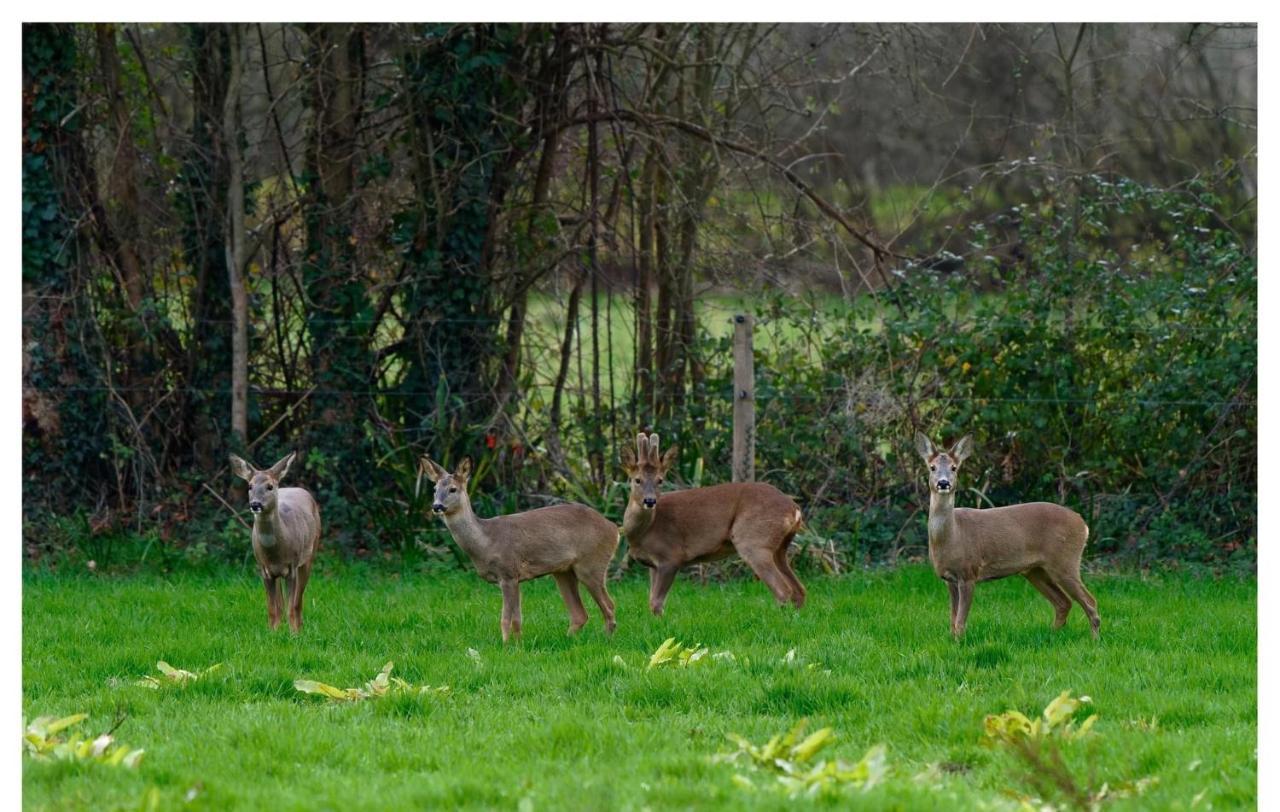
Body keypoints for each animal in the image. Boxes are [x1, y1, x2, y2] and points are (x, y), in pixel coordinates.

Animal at [229, 448, 320, 632]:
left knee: (298, 600)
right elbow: (272, 608)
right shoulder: (264, 570)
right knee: (280, 603)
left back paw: (300, 626)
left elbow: (292, 606)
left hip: (310, 554)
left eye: (270, 486)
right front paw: (273, 632)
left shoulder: (292, 567)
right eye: (250, 486)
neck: (275, 553)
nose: (255, 504)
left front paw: (295, 633)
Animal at [422, 455, 616, 637]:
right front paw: (517, 644)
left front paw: (506, 645)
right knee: (580, 614)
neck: (486, 541)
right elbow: (517, 620)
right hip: (563, 571)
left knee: (609, 605)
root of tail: (614, 528)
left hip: (591, 563)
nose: (437, 506)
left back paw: (607, 638)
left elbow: (505, 619)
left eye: (453, 489)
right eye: (434, 489)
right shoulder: (514, 578)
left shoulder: (508, 572)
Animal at [616, 430, 798, 612]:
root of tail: (794, 508)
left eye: (660, 480)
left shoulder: (670, 557)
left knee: (784, 590)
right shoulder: (653, 565)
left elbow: (656, 603)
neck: (643, 533)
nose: (650, 501)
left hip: (754, 540)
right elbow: (651, 601)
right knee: (798, 590)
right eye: (637, 479)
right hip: (779, 548)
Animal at [911, 432, 1100, 635]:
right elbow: (953, 620)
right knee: (1063, 602)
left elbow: (961, 621)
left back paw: (1094, 638)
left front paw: (960, 640)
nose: (943, 483)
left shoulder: (969, 572)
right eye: (932, 467)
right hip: (1035, 570)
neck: (953, 536)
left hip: (1065, 561)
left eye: (954, 467)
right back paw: (1053, 633)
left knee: (1089, 601)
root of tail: (1084, 525)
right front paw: (952, 638)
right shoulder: (949, 579)